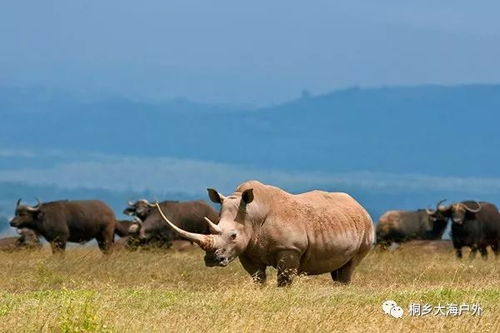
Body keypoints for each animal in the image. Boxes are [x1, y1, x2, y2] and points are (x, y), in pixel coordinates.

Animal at [154, 179, 374, 286]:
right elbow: (258, 277)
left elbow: (284, 279)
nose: (211, 260)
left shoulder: (290, 249)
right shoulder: (247, 250)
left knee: (349, 267)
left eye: (233, 235)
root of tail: (360, 206)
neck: (252, 215)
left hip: (366, 231)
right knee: (339, 268)